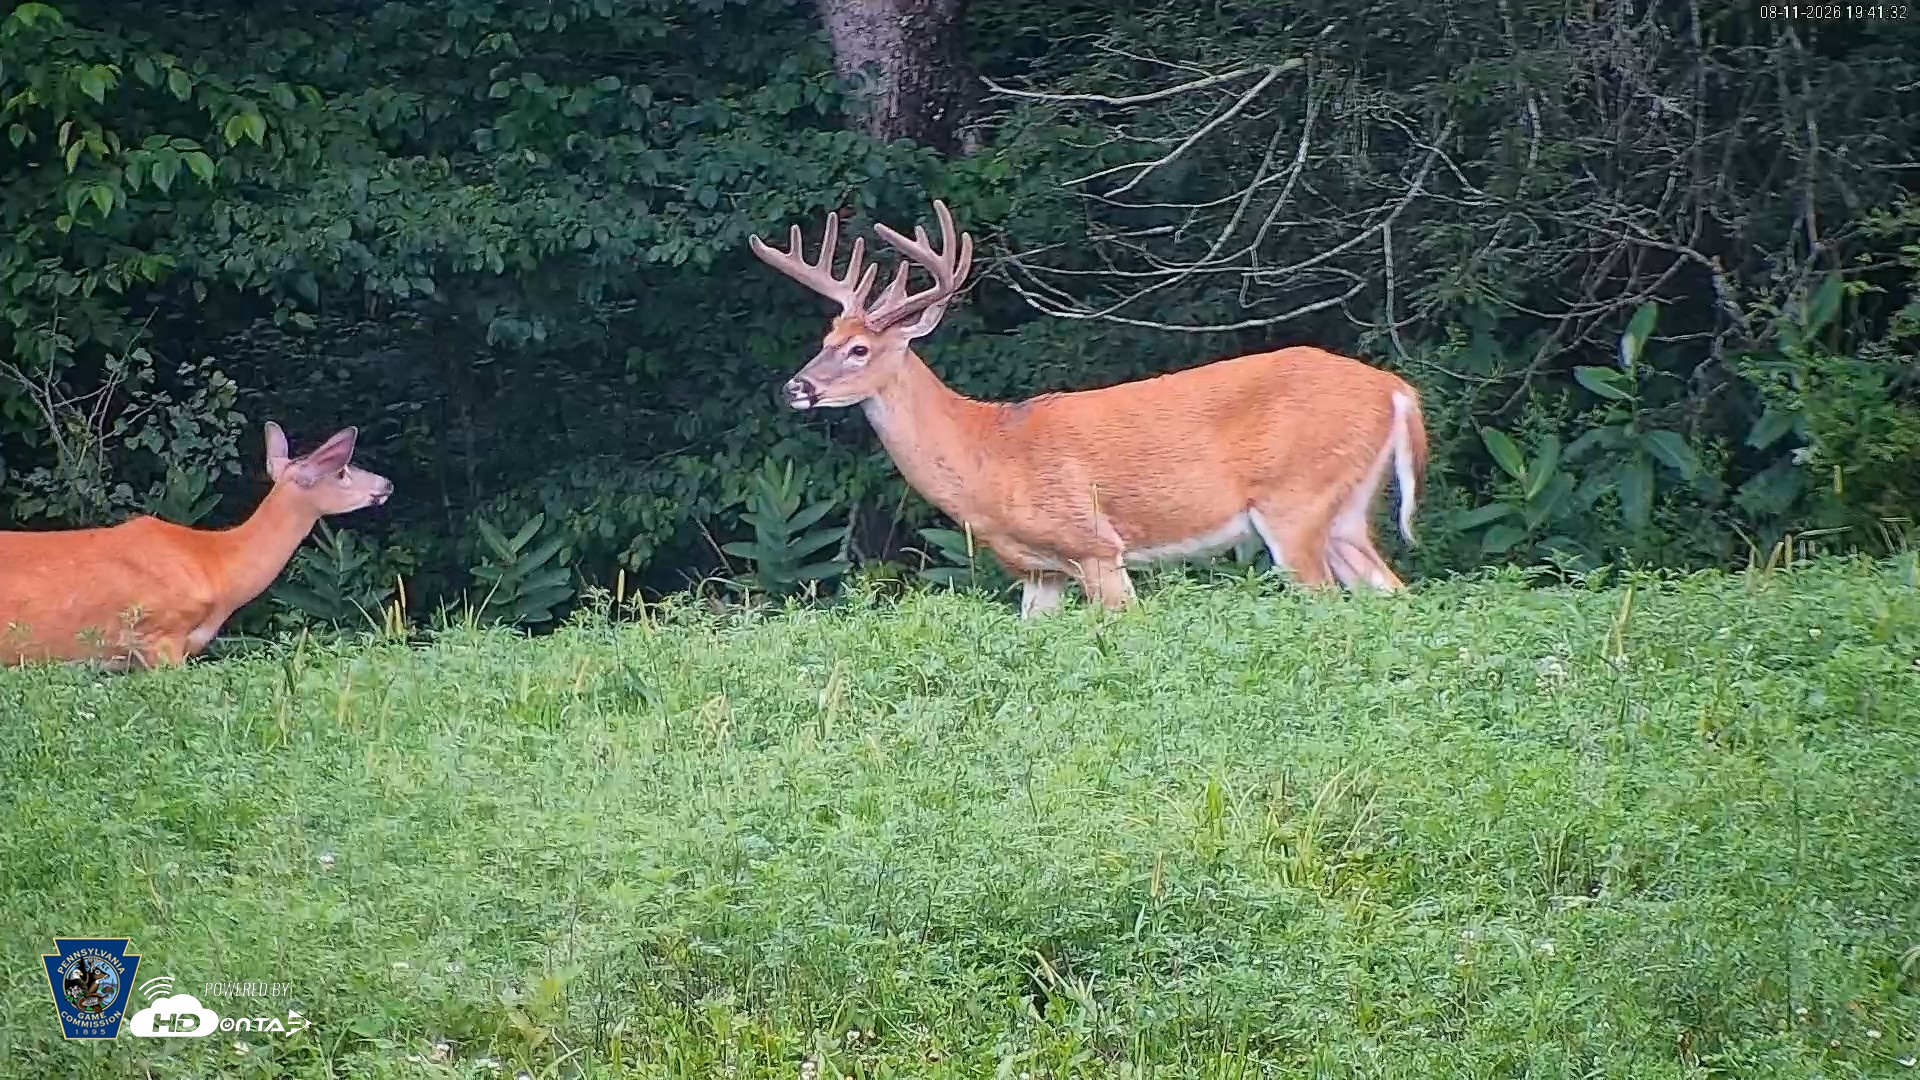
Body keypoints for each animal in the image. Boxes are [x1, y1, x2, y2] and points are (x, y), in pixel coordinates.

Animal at [747, 199, 1428, 617]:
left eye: (859, 349)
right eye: (825, 339)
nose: (794, 388)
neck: (988, 455)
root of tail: (1395, 389)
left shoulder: (1096, 546)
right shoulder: (1035, 571)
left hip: (1295, 500)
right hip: (1344, 510)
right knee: (1393, 591)